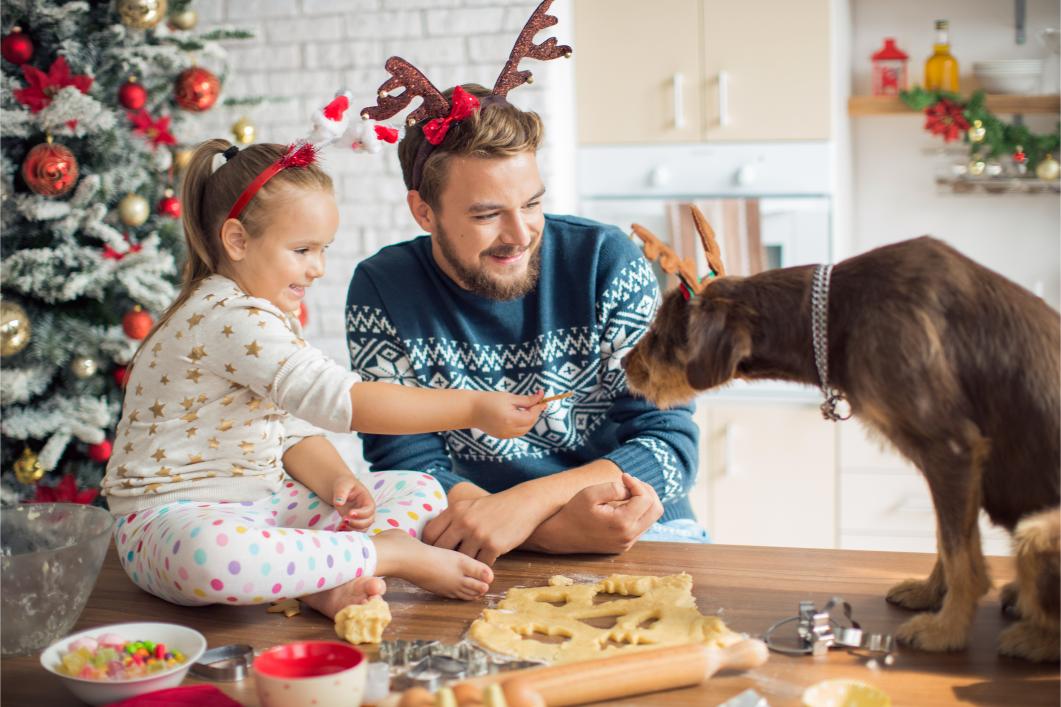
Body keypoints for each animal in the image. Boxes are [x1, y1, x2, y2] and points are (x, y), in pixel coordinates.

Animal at [623, 236, 1056, 662]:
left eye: (658, 333)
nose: (624, 363)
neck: (835, 316)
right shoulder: (943, 466)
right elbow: (943, 539)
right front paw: (931, 594)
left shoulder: (951, 450)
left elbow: (960, 554)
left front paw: (946, 630)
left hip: (1033, 534)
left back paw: (1032, 637)